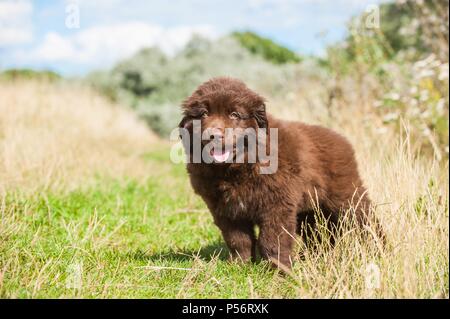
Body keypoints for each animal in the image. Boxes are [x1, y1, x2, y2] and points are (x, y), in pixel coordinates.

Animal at [179, 77, 384, 270]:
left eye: (234, 114)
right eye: (204, 113)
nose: (213, 135)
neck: (237, 169)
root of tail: (342, 140)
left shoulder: (277, 204)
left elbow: (272, 239)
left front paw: (279, 270)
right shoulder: (225, 209)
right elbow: (237, 239)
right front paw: (239, 265)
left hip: (346, 197)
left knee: (365, 221)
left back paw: (380, 250)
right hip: (309, 210)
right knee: (317, 234)